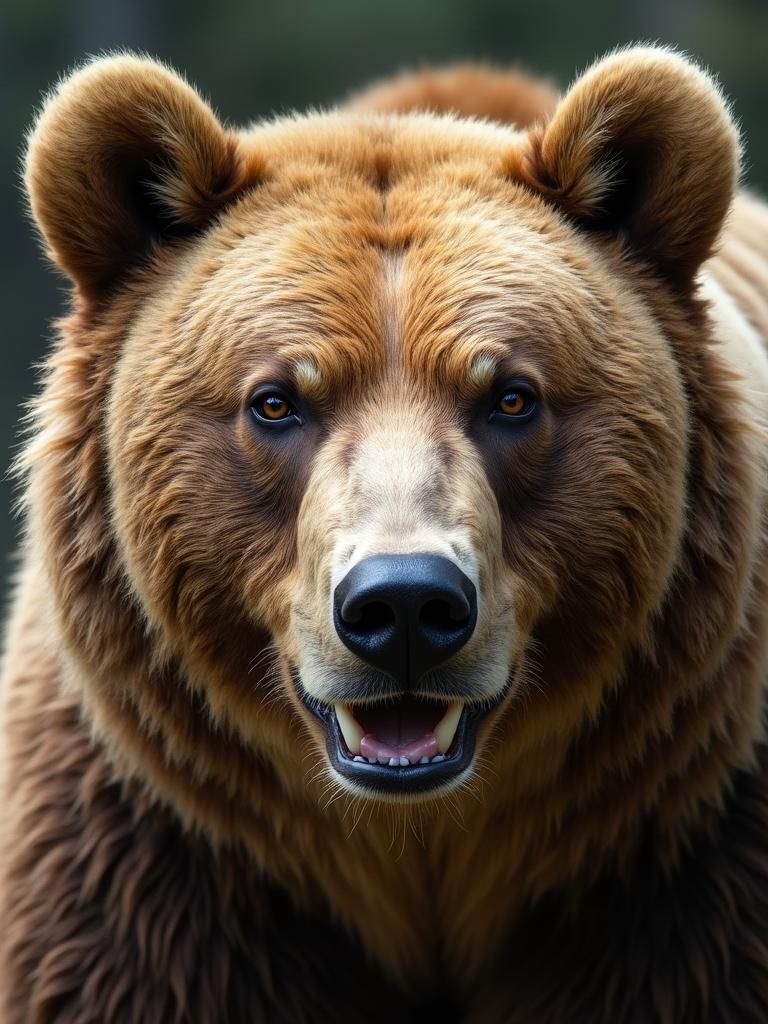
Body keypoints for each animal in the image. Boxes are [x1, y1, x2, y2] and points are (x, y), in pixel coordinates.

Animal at [1, 43, 768, 1023]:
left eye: (511, 396)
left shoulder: (688, 868)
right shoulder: (150, 871)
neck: (418, 851)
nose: (404, 605)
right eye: (276, 400)